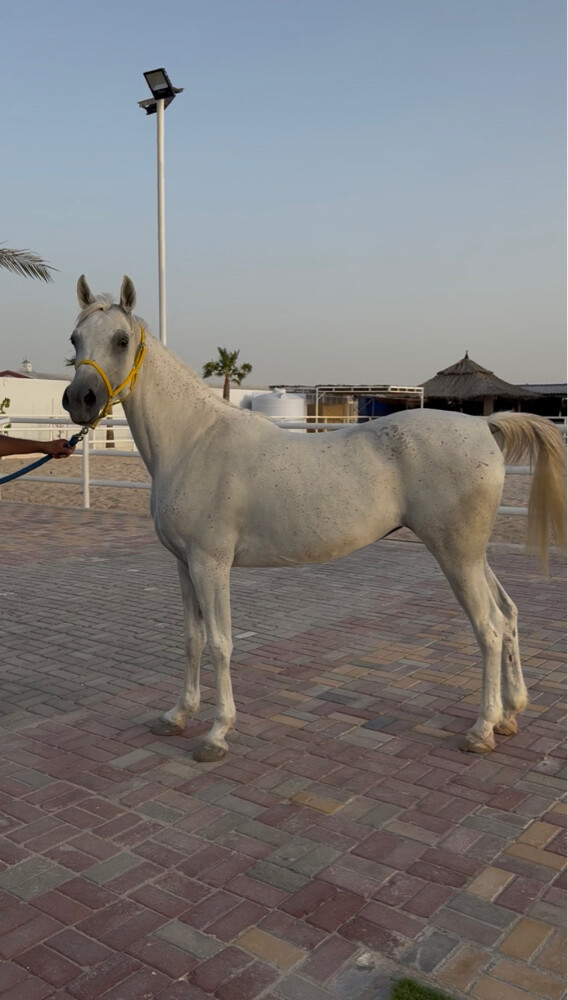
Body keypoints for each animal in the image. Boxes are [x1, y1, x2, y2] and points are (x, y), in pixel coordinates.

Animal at [63, 275, 567, 763]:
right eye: (74, 338)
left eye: (122, 339)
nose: (80, 400)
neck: (194, 440)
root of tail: (484, 424)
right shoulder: (184, 566)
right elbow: (192, 638)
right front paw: (178, 714)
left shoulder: (211, 565)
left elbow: (221, 643)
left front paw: (217, 733)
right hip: (472, 556)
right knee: (508, 615)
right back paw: (510, 713)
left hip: (457, 557)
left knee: (489, 629)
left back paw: (482, 729)